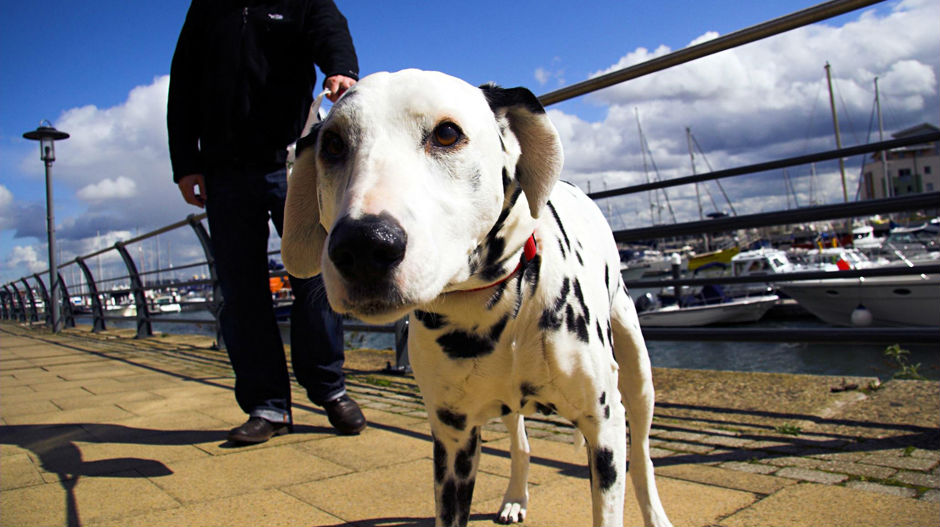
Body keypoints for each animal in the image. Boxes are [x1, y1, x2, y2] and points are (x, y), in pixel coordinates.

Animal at [282, 70, 672, 527]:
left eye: (447, 133)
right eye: (333, 144)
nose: (363, 246)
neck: (499, 307)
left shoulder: (604, 429)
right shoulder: (454, 442)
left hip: (637, 375)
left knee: (642, 456)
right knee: (521, 444)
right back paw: (516, 496)